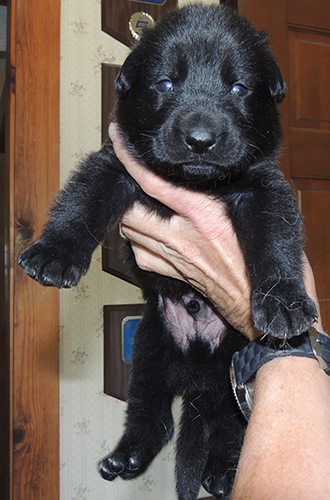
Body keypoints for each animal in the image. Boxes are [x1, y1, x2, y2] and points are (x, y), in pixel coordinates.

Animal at [19, 4, 318, 500]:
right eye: (164, 84)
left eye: (238, 88)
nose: (199, 138)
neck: (193, 182)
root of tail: (195, 370)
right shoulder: (115, 163)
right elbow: (82, 201)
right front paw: (53, 254)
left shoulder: (263, 186)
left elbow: (275, 241)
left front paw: (283, 300)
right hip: (150, 350)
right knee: (153, 415)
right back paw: (127, 457)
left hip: (229, 370)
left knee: (226, 428)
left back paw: (221, 473)